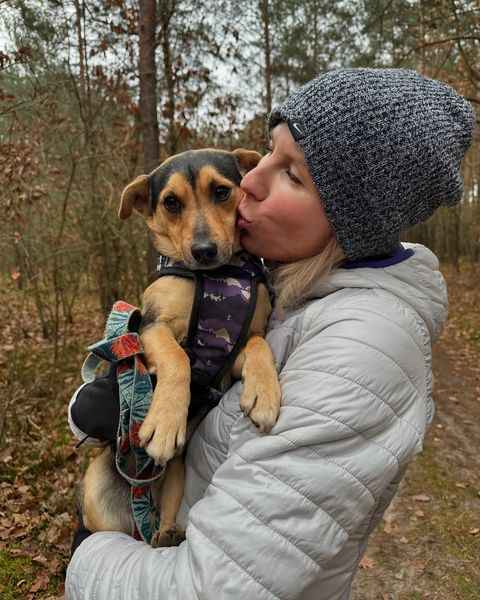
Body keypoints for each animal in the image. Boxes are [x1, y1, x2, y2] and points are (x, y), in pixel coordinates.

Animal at [79, 148, 282, 548]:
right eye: (171, 202)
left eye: (222, 191)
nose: (203, 251)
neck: (216, 276)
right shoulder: (150, 327)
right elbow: (177, 358)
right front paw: (165, 418)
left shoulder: (230, 353)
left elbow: (258, 343)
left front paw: (264, 391)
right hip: (94, 489)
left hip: (176, 475)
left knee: (164, 515)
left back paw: (167, 532)